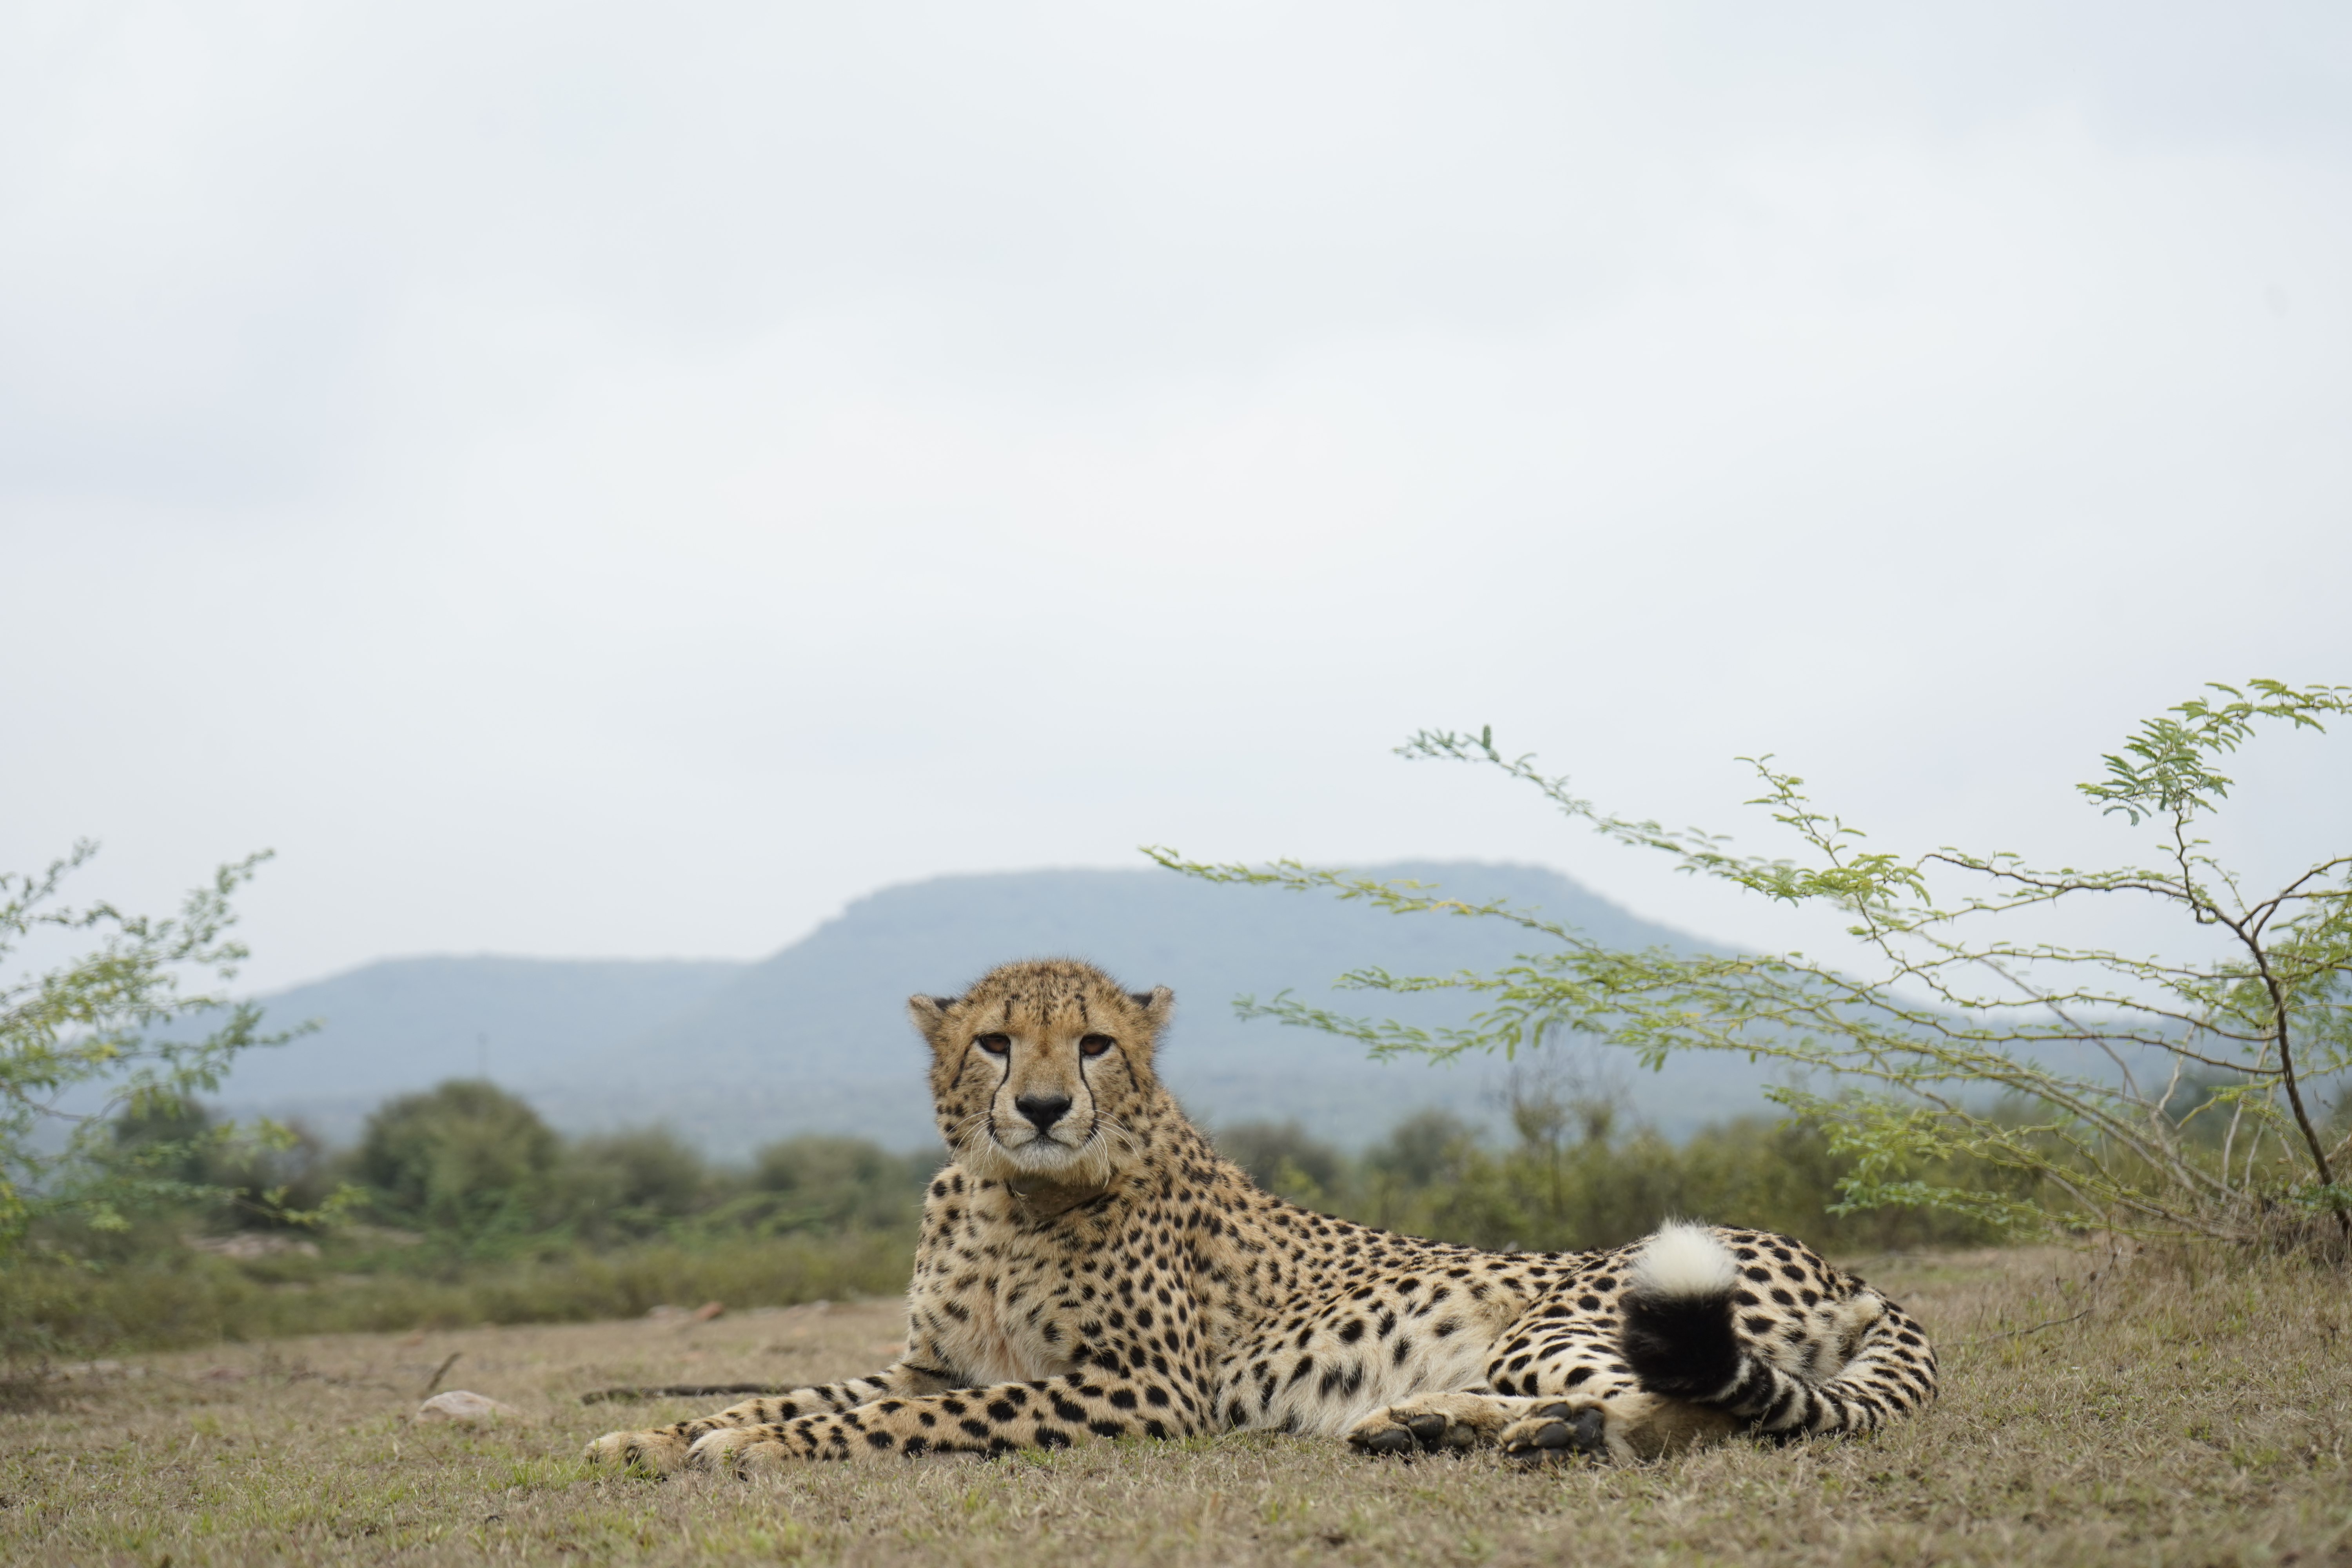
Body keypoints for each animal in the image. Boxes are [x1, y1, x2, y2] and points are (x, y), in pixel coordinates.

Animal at [587, 957, 1937, 1475]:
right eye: (994, 1042)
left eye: (1093, 1043)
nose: (1040, 1106)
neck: (1010, 1195)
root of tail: (1837, 1260)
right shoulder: (925, 1357)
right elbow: (807, 1389)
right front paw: (659, 1432)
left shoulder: (1144, 1388)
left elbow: (922, 1417)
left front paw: (753, 1448)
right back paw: (1427, 1422)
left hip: (1573, 1310)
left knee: (1691, 1415)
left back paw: (1528, 1430)